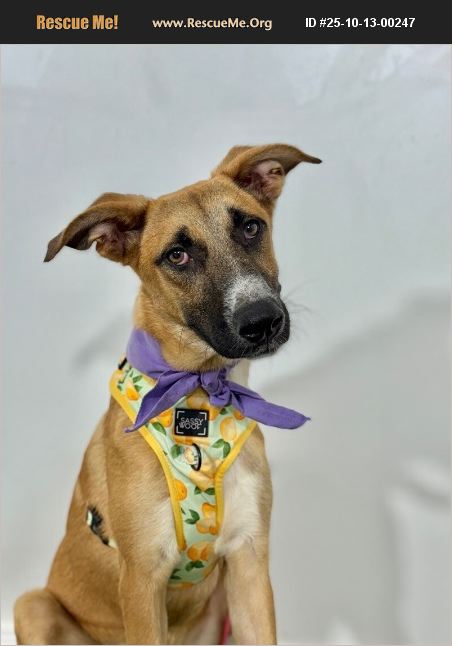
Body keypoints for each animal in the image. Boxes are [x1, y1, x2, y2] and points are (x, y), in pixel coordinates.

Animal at [14, 144, 321, 645]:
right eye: (177, 255)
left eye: (251, 227)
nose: (262, 320)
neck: (200, 396)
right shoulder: (142, 578)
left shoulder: (250, 561)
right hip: (32, 605)